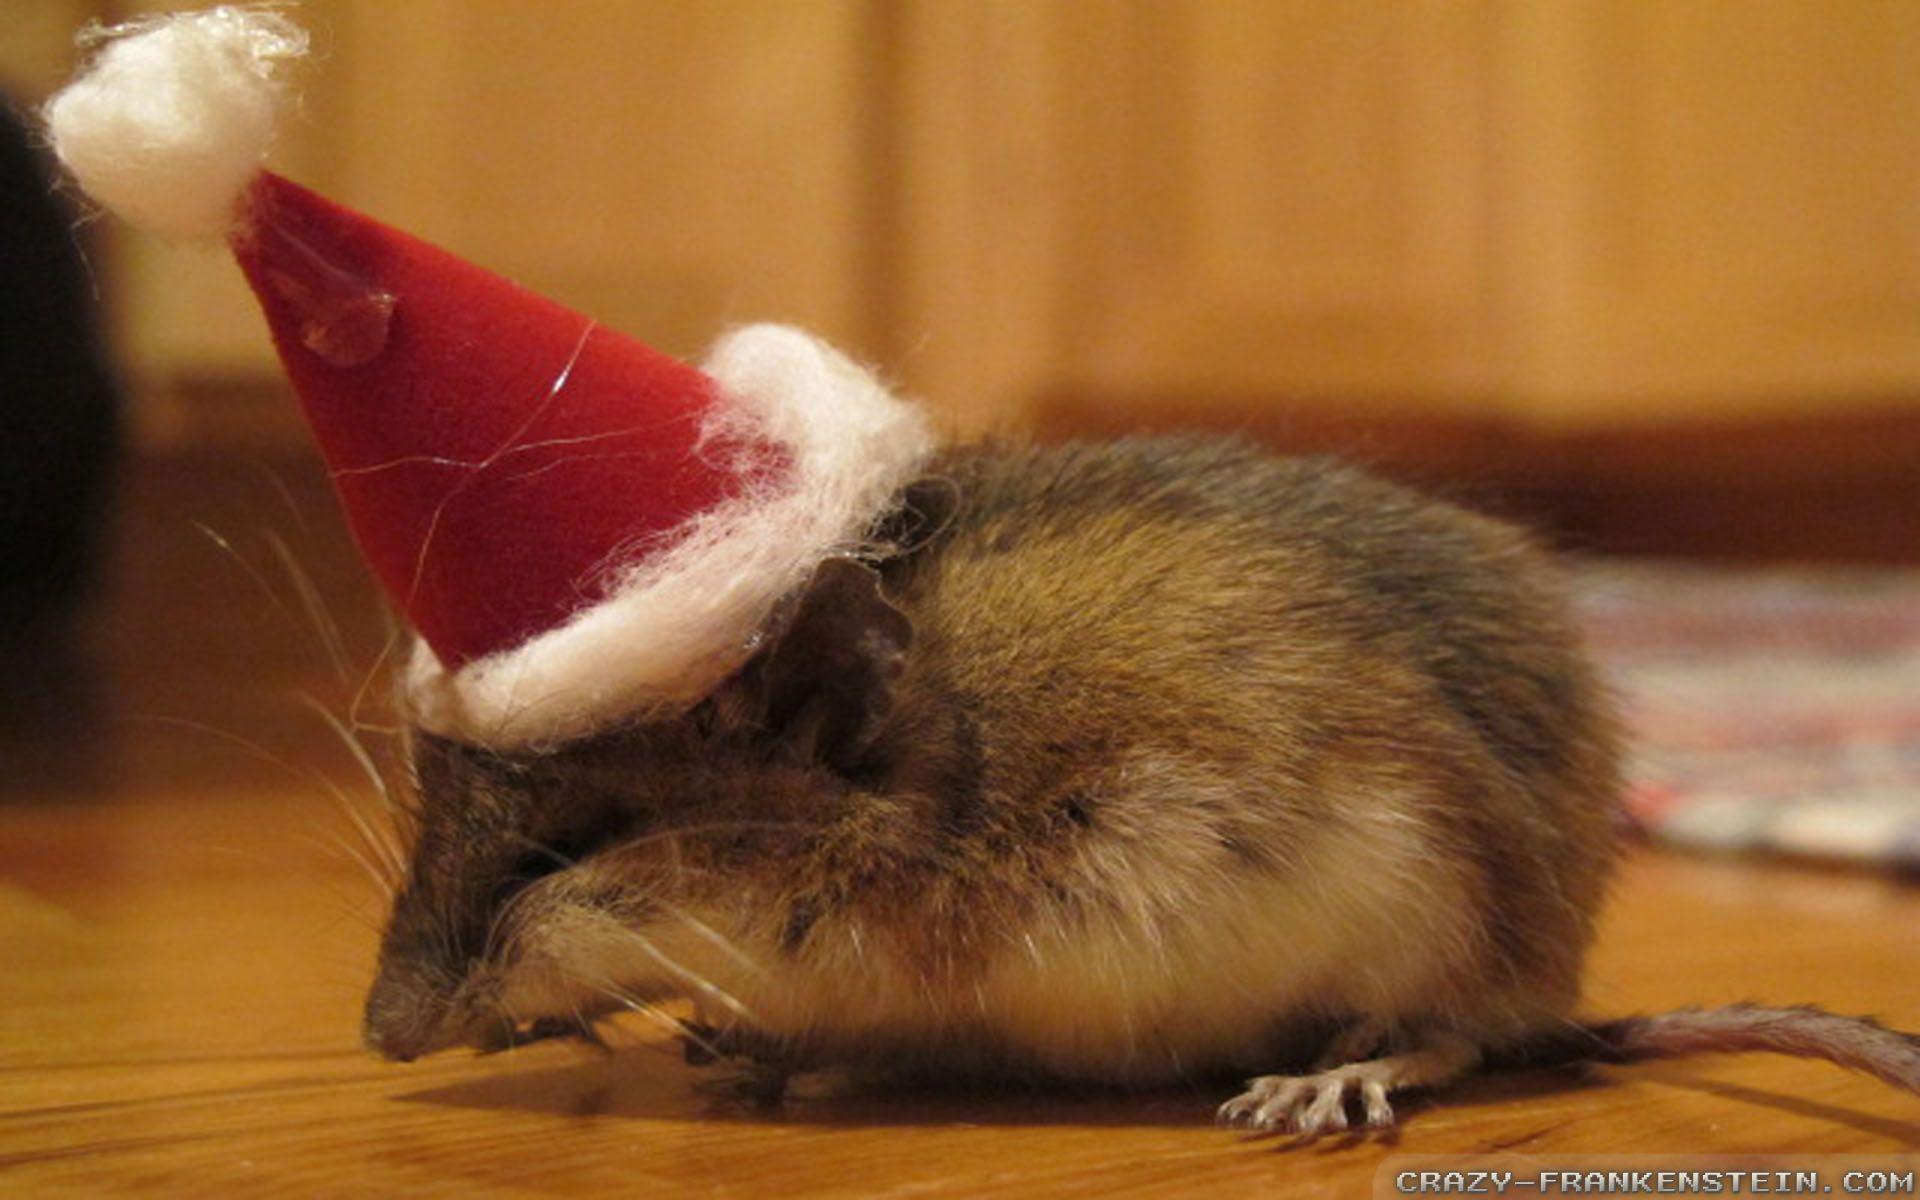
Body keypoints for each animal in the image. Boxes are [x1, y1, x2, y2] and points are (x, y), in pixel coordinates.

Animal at [360, 435, 1920, 1135]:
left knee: (1456, 1042)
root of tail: (1561, 996)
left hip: (1424, 915)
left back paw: (1322, 1084)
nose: (379, 1039)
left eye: (562, 851)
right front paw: (734, 1050)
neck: (939, 772)